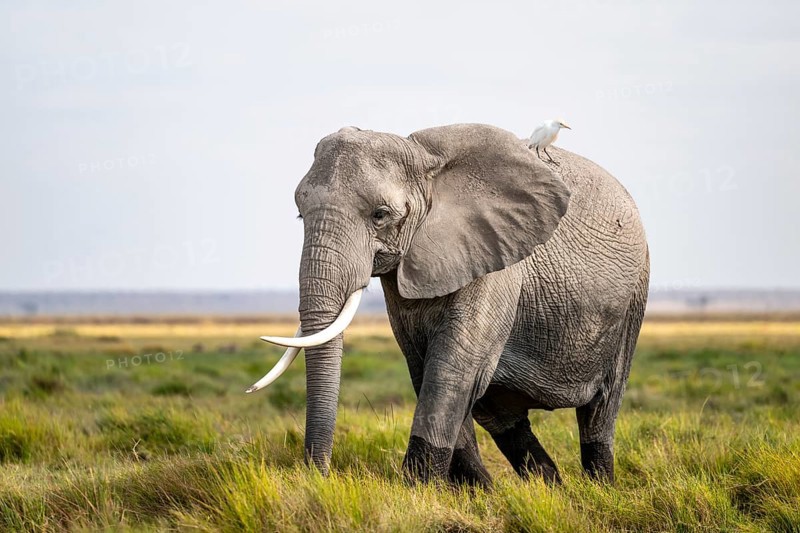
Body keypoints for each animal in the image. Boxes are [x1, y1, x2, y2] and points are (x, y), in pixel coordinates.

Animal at [255, 123, 649, 486]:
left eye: (380, 215)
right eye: (300, 214)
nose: (320, 476)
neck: (426, 163)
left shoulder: (496, 258)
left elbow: (450, 370)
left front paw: (416, 491)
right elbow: (424, 367)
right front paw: (468, 493)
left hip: (633, 298)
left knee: (600, 409)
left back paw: (599, 489)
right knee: (499, 413)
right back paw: (544, 489)